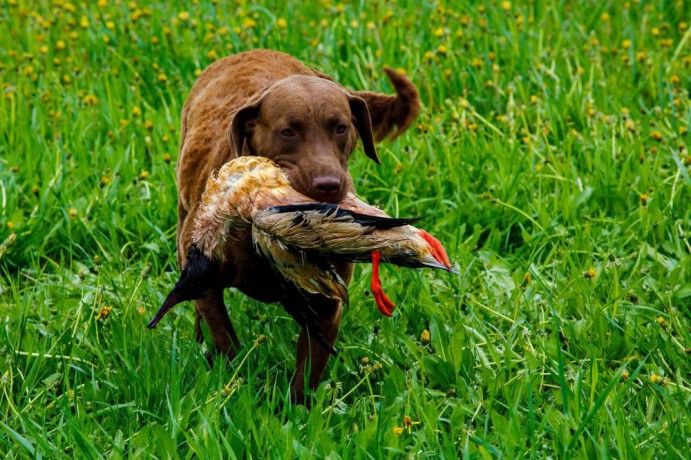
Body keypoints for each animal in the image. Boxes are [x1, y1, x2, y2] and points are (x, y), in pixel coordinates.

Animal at [176, 50, 418, 402]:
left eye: (341, 128)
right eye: (288, 131)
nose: (329, 184)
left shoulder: (327, 305)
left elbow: (306, 376)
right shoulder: (206, 281)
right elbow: (226, 344)